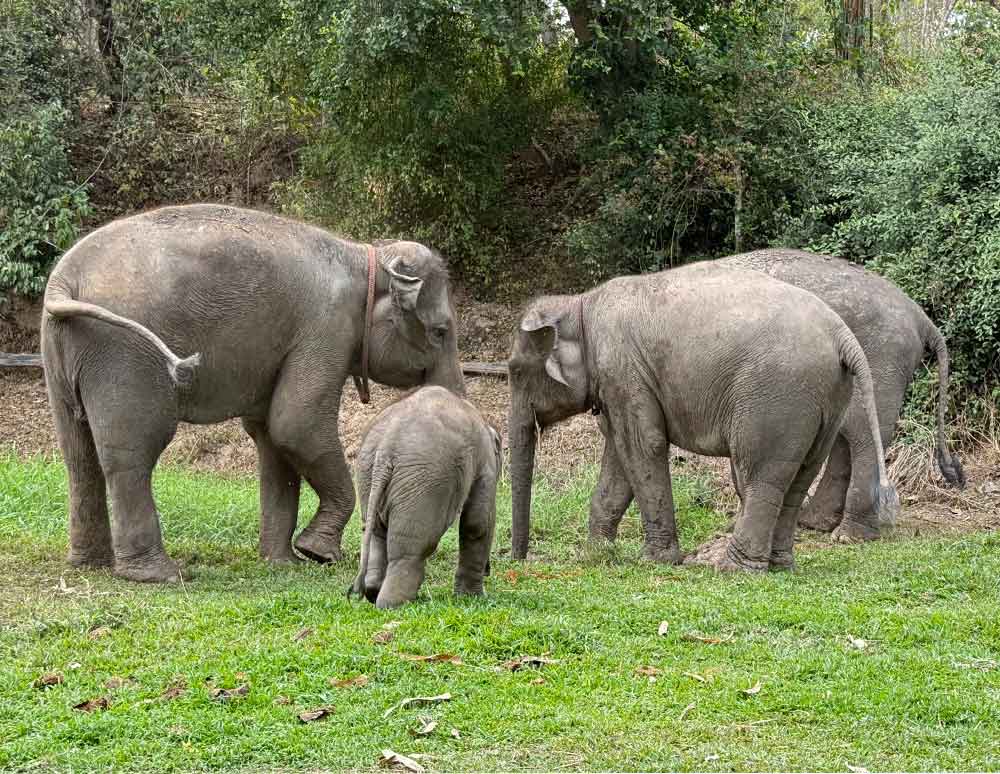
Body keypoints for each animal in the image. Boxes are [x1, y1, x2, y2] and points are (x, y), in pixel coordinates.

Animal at [41, 204, 465, 583]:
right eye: (441, 331)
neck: (366, 256)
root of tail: (63, 281)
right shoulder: (326, 329)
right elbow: (297, 424)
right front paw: (317, 553)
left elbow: (272, 436)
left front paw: (282, 562)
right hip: (123, 354)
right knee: (131, 454)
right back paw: (159, 575)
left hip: (64, 357)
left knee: (78, 454)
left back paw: (90, 564)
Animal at [348, 386, 500, 608]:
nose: (489, 571)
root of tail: (386, 447)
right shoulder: (485, 463)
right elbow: (477, 523)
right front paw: (473, 598)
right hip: (422, 484)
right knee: (412, 549)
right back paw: (396, 603)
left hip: (366, 473)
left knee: (376, 533)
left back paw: (373, 592)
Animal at [508, 262, 900, 571]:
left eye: (514, 371)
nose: (518, 559)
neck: (580, 305)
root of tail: (842, 335)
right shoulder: (617, 383)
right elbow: (620, 454)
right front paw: (596, 554)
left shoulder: (623, 371)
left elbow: (644, 445)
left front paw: (655, 561)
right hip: (827, 402)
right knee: (800, 476)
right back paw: (778, 565)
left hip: (778, 399)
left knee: (760, 476)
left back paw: (734, 568)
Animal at [587, 249, 964, 546]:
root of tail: (920, 317)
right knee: (845, 436)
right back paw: (814, 523)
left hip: (880, 358)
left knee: (863, 436)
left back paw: (848, 535)